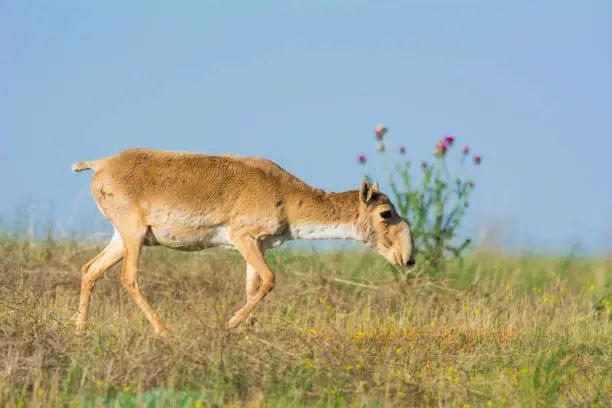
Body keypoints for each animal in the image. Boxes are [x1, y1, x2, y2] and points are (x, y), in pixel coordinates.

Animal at [71, 148, 416, 336]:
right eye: (386, 213)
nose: (408, 258)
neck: (286, 196)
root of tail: (100, 164)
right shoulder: (243, 238)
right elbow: (271, 279)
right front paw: (230, 323)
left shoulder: (258, 246)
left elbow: (254, 286)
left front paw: (247, 331)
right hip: (133, 234)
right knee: (128, 277)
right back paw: (164, 331)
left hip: (124, 238)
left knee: (90, 270)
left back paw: (81, 333)